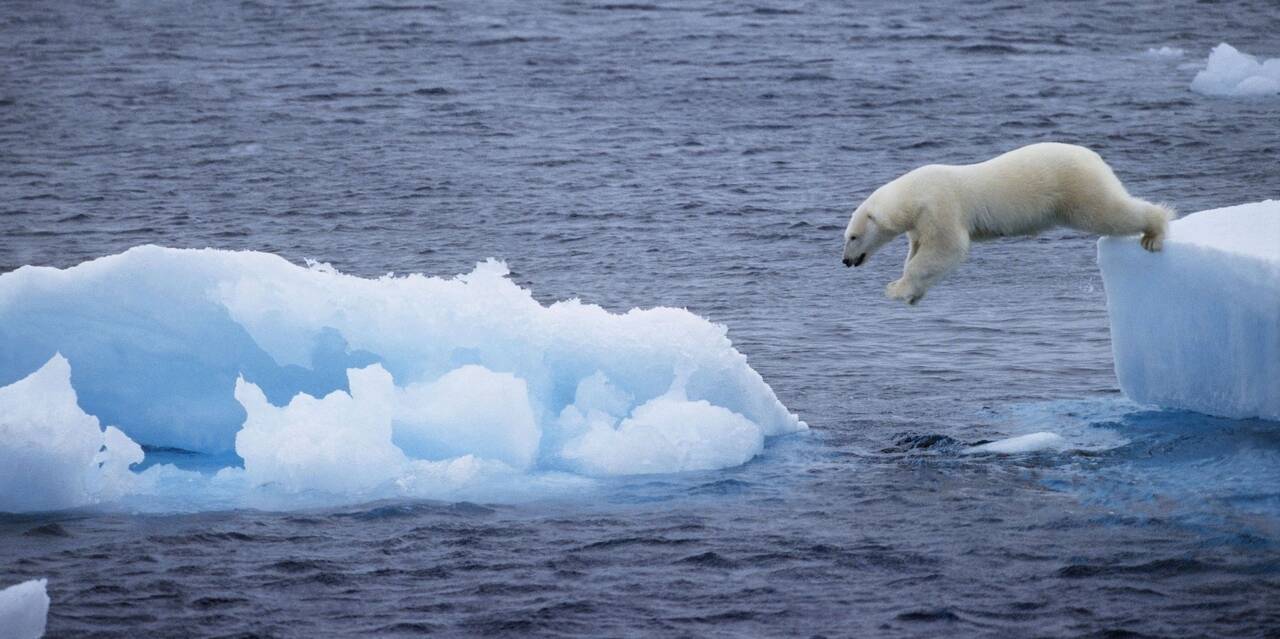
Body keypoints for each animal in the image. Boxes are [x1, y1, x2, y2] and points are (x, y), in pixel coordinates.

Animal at [839, 142, 1172, 304]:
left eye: (853, 236)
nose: (845, 261)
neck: (914, 193)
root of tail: (1094, 157)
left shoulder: (940, 206)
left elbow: (947, 248)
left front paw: (896, 289)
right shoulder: (920, 222)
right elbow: (921, 252)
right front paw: (912, 293)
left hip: (1075, 187)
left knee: (1108, 212)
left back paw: (1154, 231)